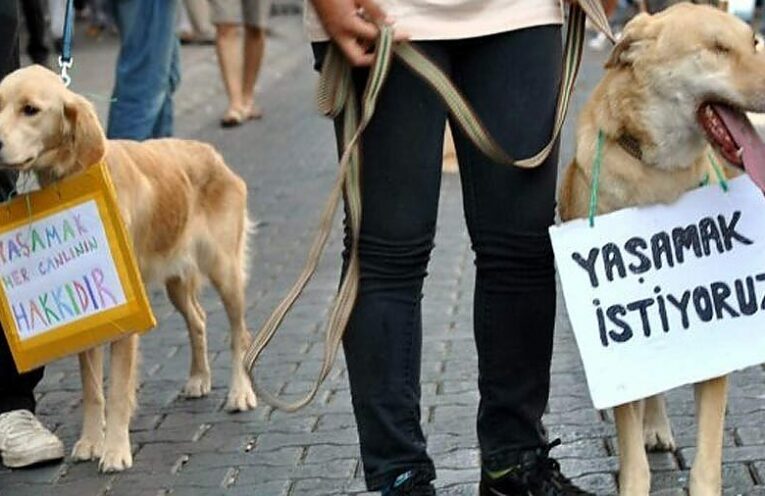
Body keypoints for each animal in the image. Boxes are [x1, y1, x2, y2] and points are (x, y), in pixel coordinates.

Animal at [0, 66, 257, 472]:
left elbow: (118, 390)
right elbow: (93, 390)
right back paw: (199, 378)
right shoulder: (91, 319)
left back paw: (240, 392)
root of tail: (212, 154)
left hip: (225, 271)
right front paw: (91, 441)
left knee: (239, 335)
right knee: (198, 321)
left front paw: (116, 450)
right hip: (175, 282)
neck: (73, 173)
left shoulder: (127, 320)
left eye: (30, 110)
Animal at [559, 3, 765, 494]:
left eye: (753, 42)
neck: (659, 175)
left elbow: (708, 451)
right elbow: (629, 436)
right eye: (717, 48)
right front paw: (635, 477)